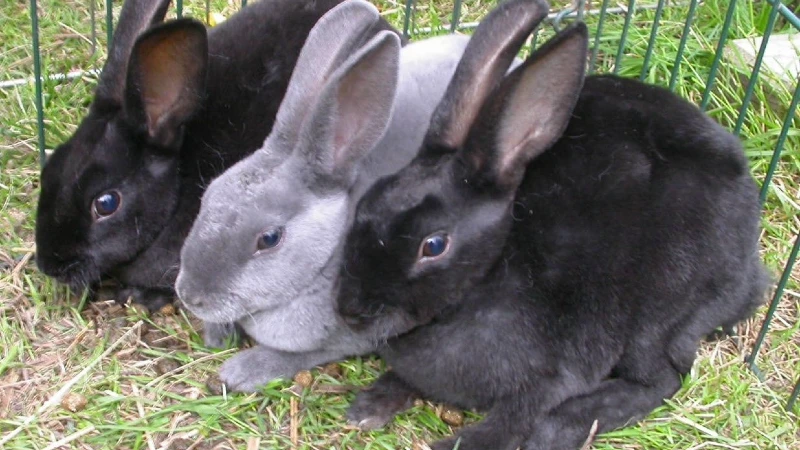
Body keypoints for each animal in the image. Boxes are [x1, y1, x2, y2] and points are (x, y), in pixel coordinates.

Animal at [174, 0, 476, 392]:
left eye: (269, 239)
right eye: (209, 195)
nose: (189, 295)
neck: (328, 255)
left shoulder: (357, 331)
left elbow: (303, 354)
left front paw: (241, 370)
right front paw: (217, 333)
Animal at [331, 0, 769, 449]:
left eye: (433, 245)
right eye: (367, 203)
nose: (349, 310)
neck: (491, 273)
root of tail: (750, 272)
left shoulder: (559, 373)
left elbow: (514, 420)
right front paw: (370, 406)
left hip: (659, 310)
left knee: (664, 378)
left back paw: (566, 424)